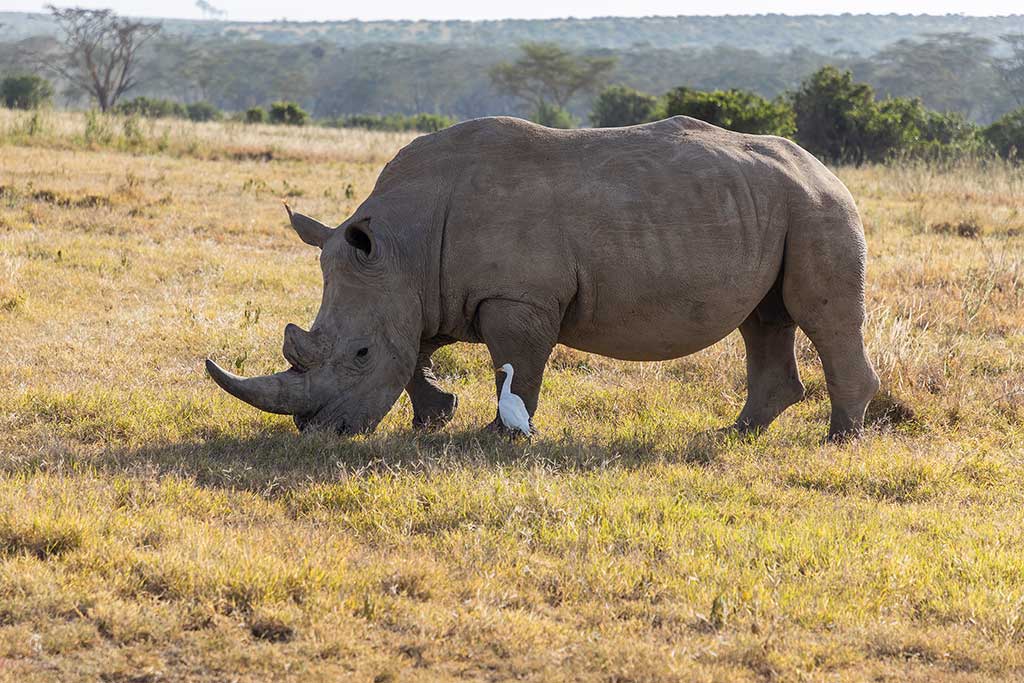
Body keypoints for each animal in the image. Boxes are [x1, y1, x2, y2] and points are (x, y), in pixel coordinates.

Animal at [206, 116, 880, 441]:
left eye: (359, 354)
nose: (319, 432)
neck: (403, 245)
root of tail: (822, 165)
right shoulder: (418, 288)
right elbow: (416, 351)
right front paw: (434, 418)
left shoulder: (518, 297)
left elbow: (518, 363)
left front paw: (495, 434)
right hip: (773, 205)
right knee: (763, 320)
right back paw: (737, 434)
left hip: (819, 207)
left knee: (820, 316)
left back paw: (838, 441)